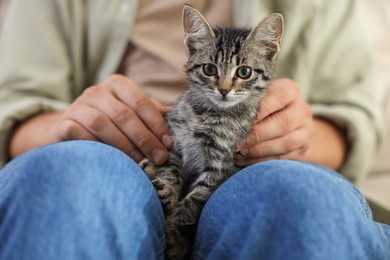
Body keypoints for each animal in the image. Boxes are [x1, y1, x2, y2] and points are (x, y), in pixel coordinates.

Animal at [140, 5, 284, 258]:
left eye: (244, 72)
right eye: (209, 69)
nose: (224, 90)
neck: (207, 113)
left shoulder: (221, 164)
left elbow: (195, 200)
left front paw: (174, 233)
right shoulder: (174, 142)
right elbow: (171, 170)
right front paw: (168, 191)